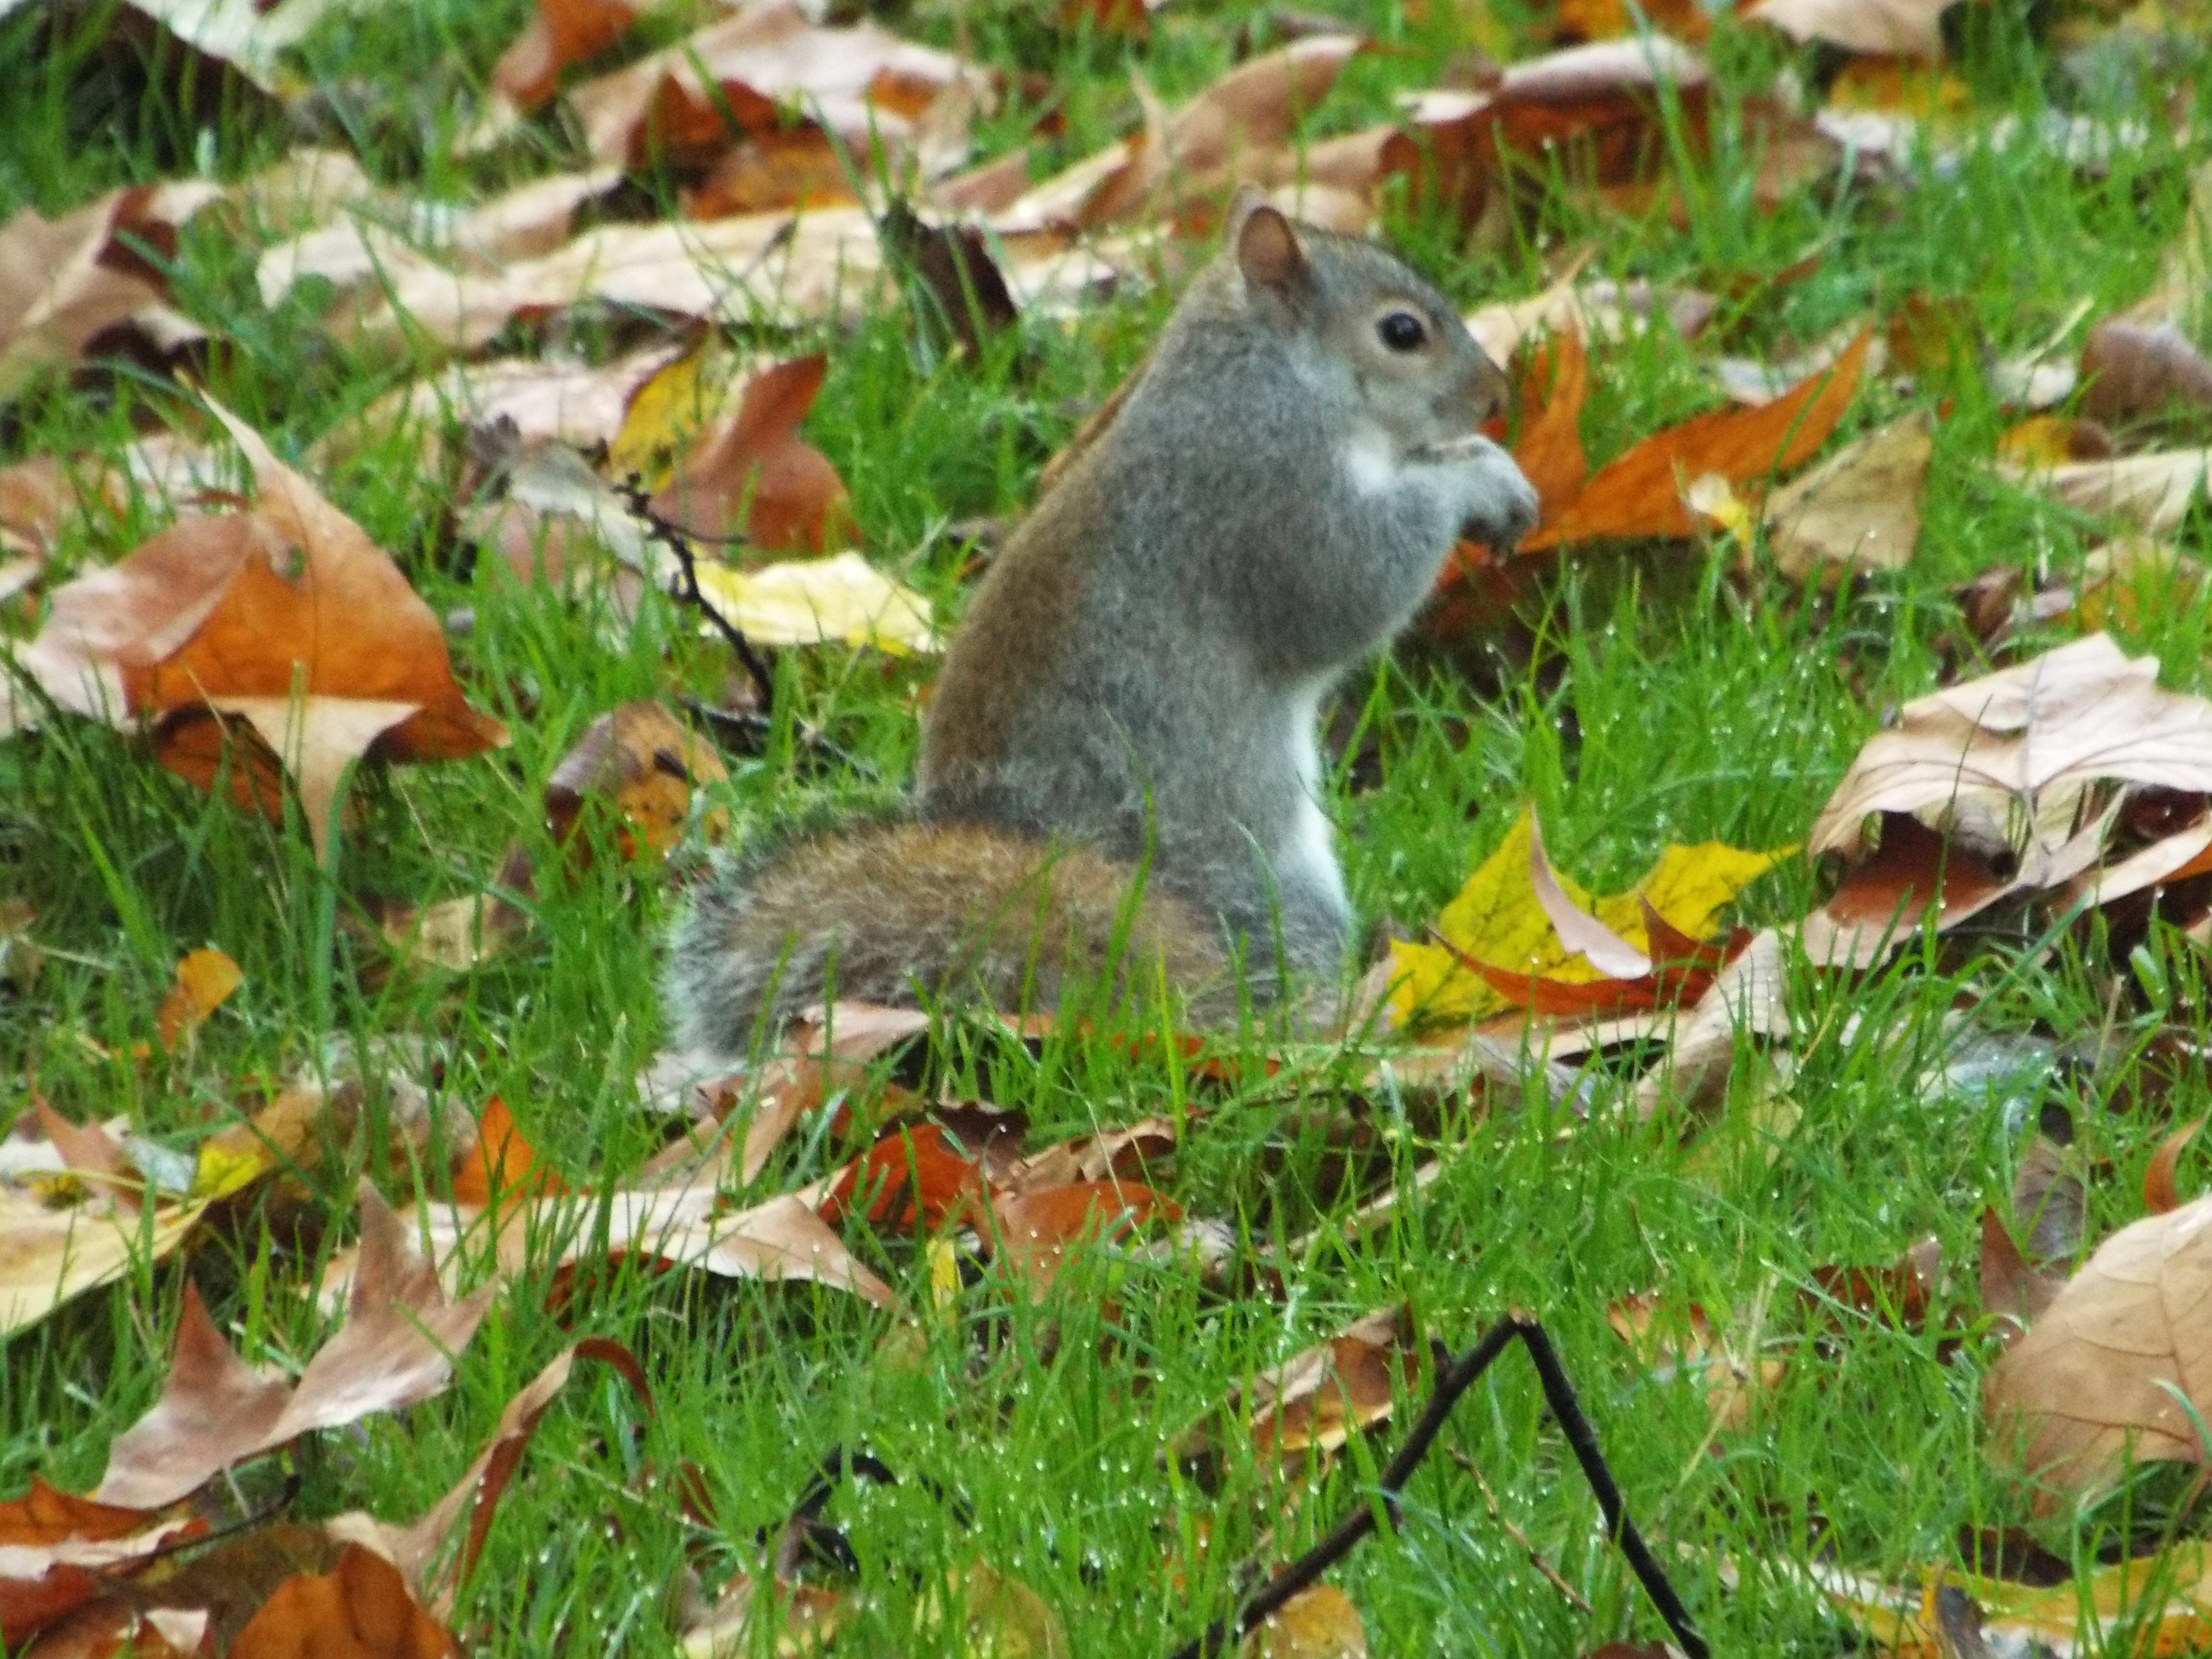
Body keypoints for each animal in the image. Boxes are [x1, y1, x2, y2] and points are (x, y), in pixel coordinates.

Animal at [663, 184, 1539, 1066]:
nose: (1497, 398)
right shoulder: (1265, 494)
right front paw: (1476, 478)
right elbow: (1351, 583)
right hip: (1253, 870)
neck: (1262, 376)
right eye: (1402, 332)